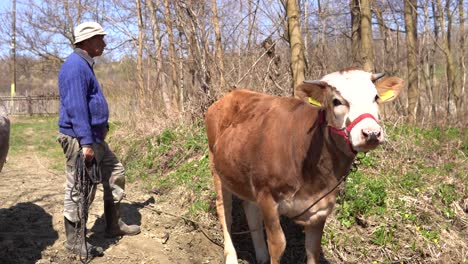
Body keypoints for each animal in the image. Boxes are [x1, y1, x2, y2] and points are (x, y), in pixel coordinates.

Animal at [207, 68, 404, 264]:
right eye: (337, 101)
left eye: (375, 97)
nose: (371, 133)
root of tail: (229, 96)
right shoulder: (267, 196)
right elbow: (278, 244)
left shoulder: (320, 209)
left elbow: (313, 249)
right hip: (217, 169)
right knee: (224, 211)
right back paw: (231, 256)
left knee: (251, 212)